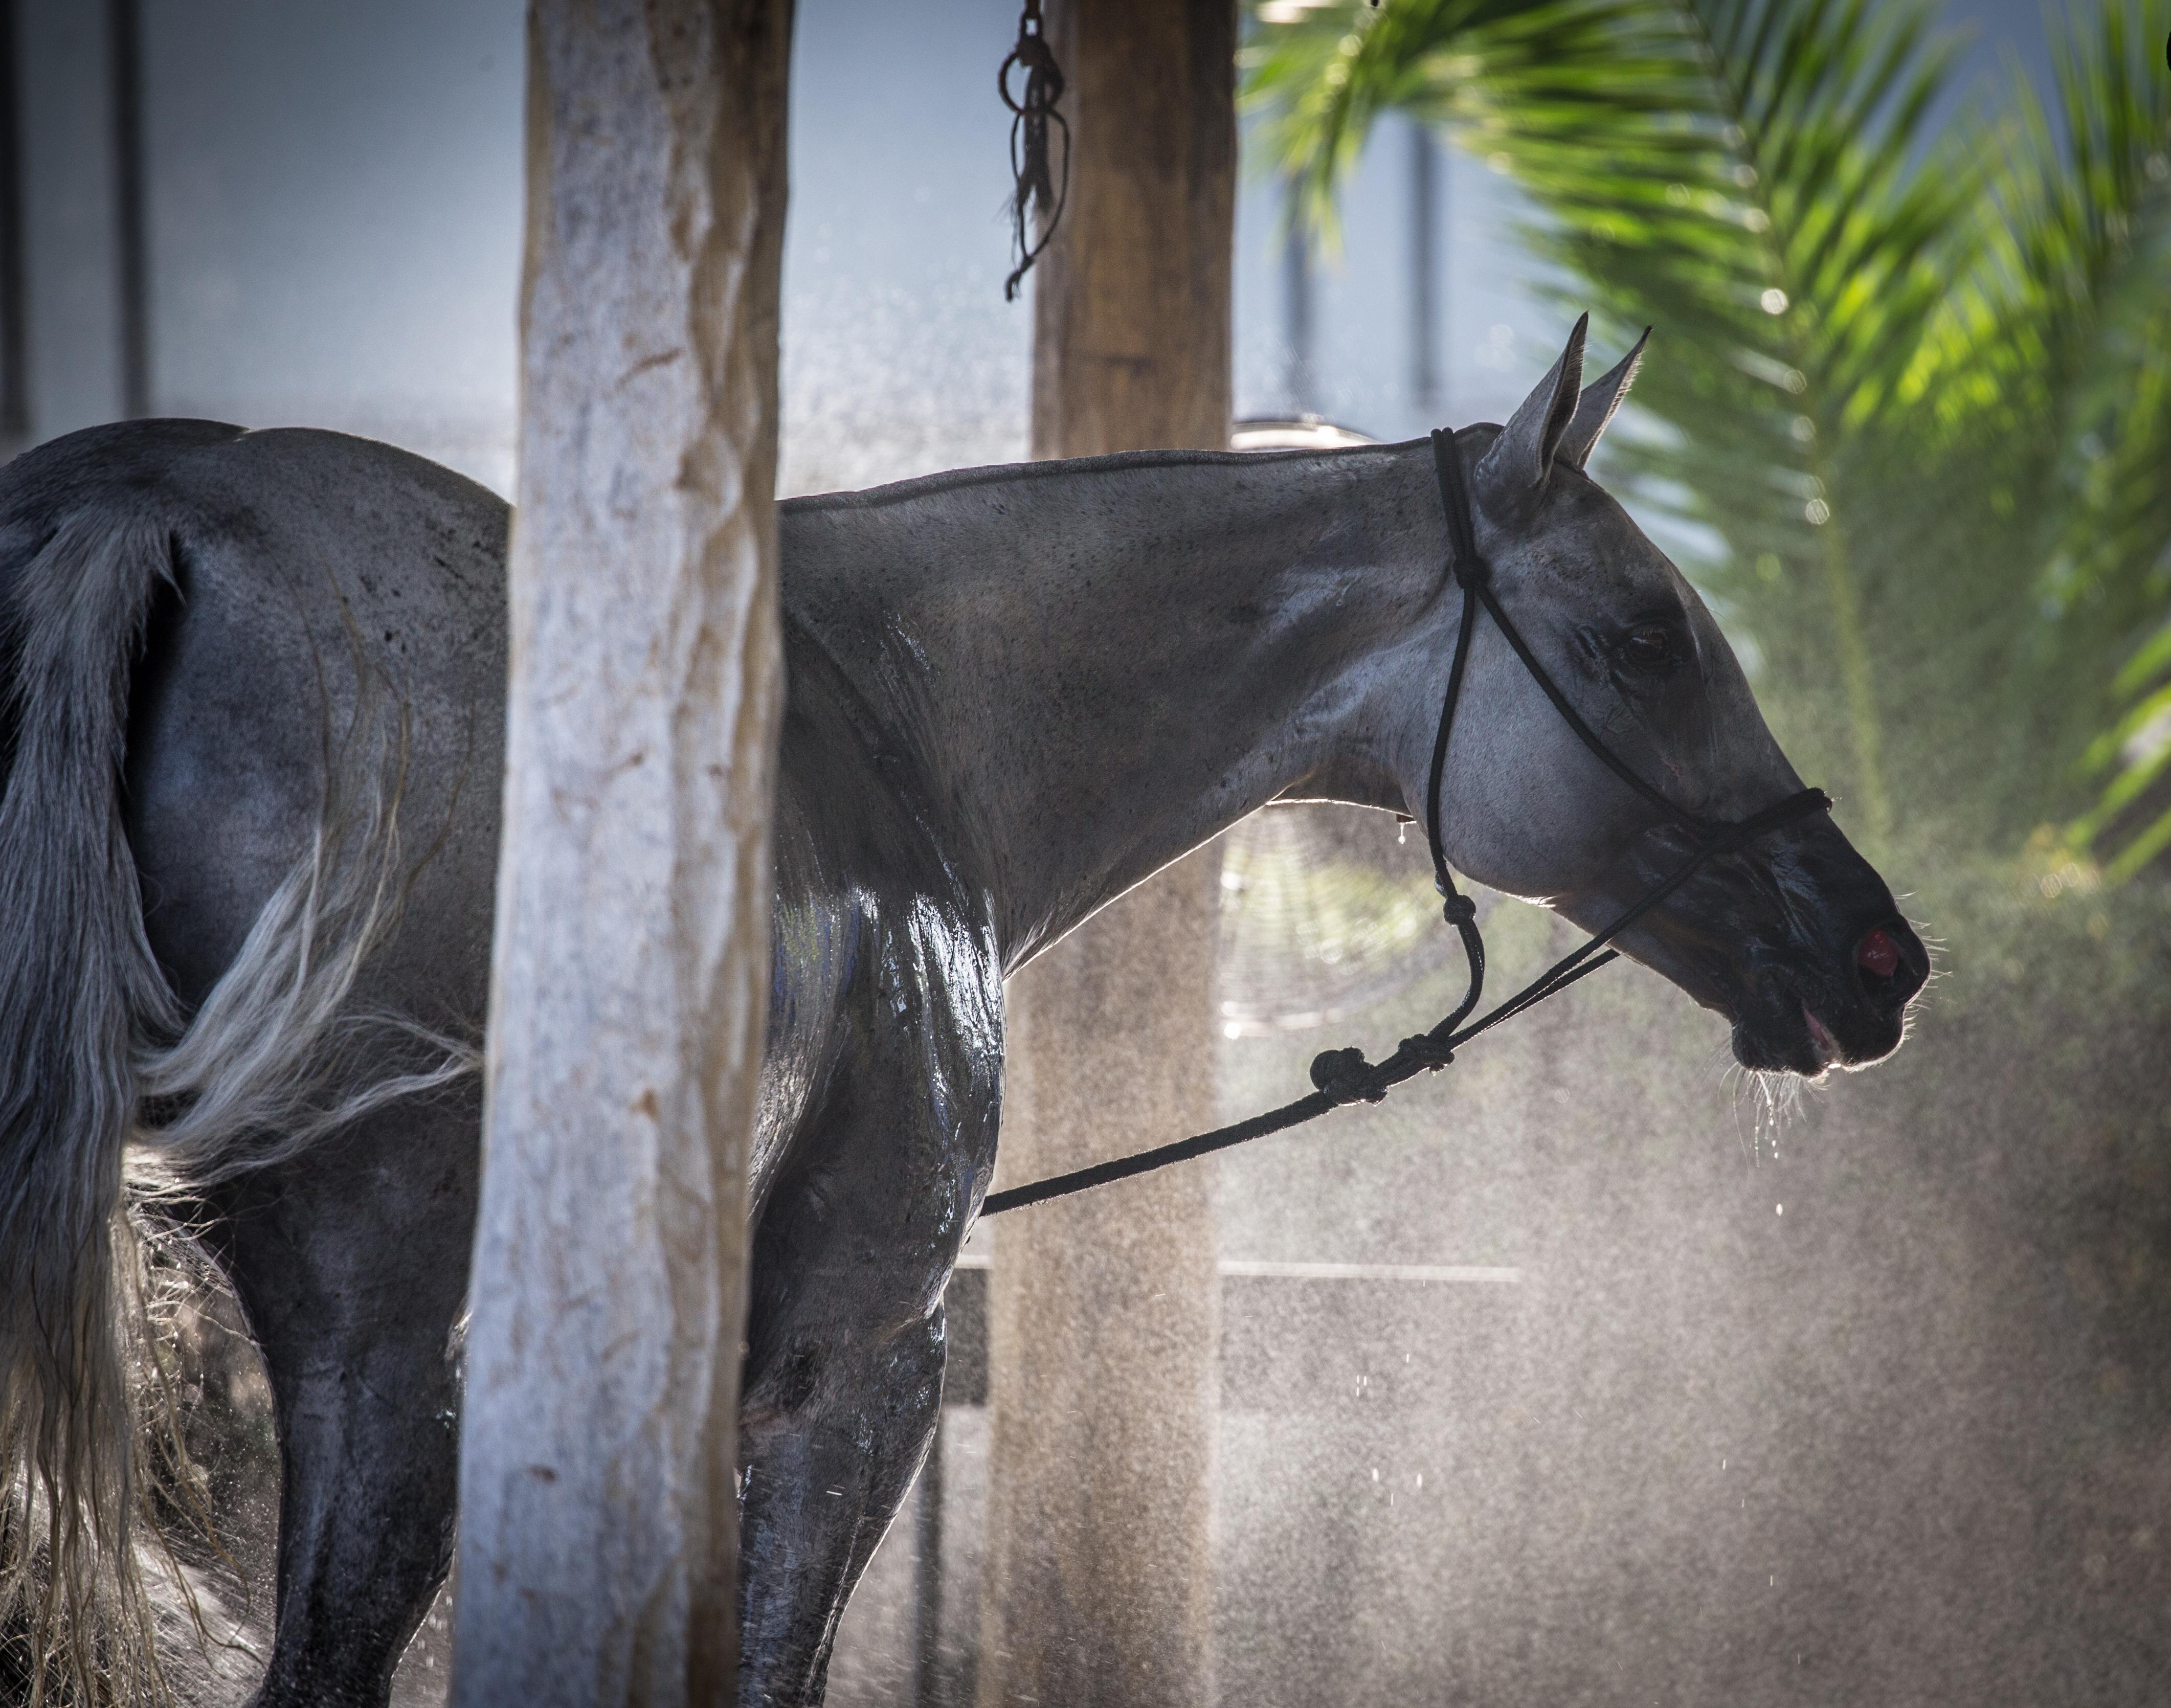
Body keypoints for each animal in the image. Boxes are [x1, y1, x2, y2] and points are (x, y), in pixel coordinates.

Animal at [0, 323, 1928, 1708]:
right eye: (1647, 635)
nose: (1876, 957)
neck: (892, 722)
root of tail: (161, 510)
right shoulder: (853, 1378)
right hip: (390, 1357)